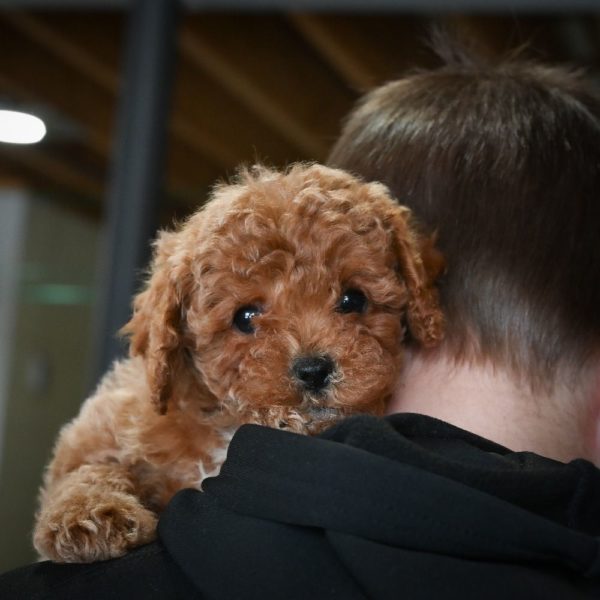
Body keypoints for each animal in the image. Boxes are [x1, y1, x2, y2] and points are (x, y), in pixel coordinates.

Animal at [32, 163, 446, 564]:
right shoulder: (101, 429)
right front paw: (89, 516)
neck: (227, 419)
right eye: (245, 317)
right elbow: (84, 469)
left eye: (353, 299)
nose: (313, 370)